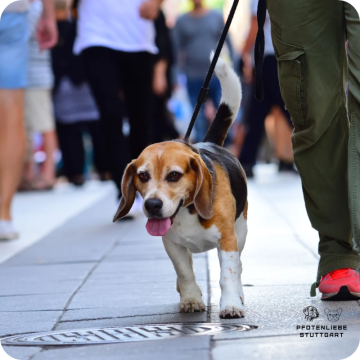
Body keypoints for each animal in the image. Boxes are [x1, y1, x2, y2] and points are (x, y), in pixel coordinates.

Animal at [114, 56, 246, 318]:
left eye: (174, 175)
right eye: (142, 176)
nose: (152, 205)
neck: (188, 209)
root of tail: (210, 142)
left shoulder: (228, 240)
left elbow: (228, 273)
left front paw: (231, 304)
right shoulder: (171, 244)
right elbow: (184, 272)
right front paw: (191, 299)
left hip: (242, 230)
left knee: (239, 265)